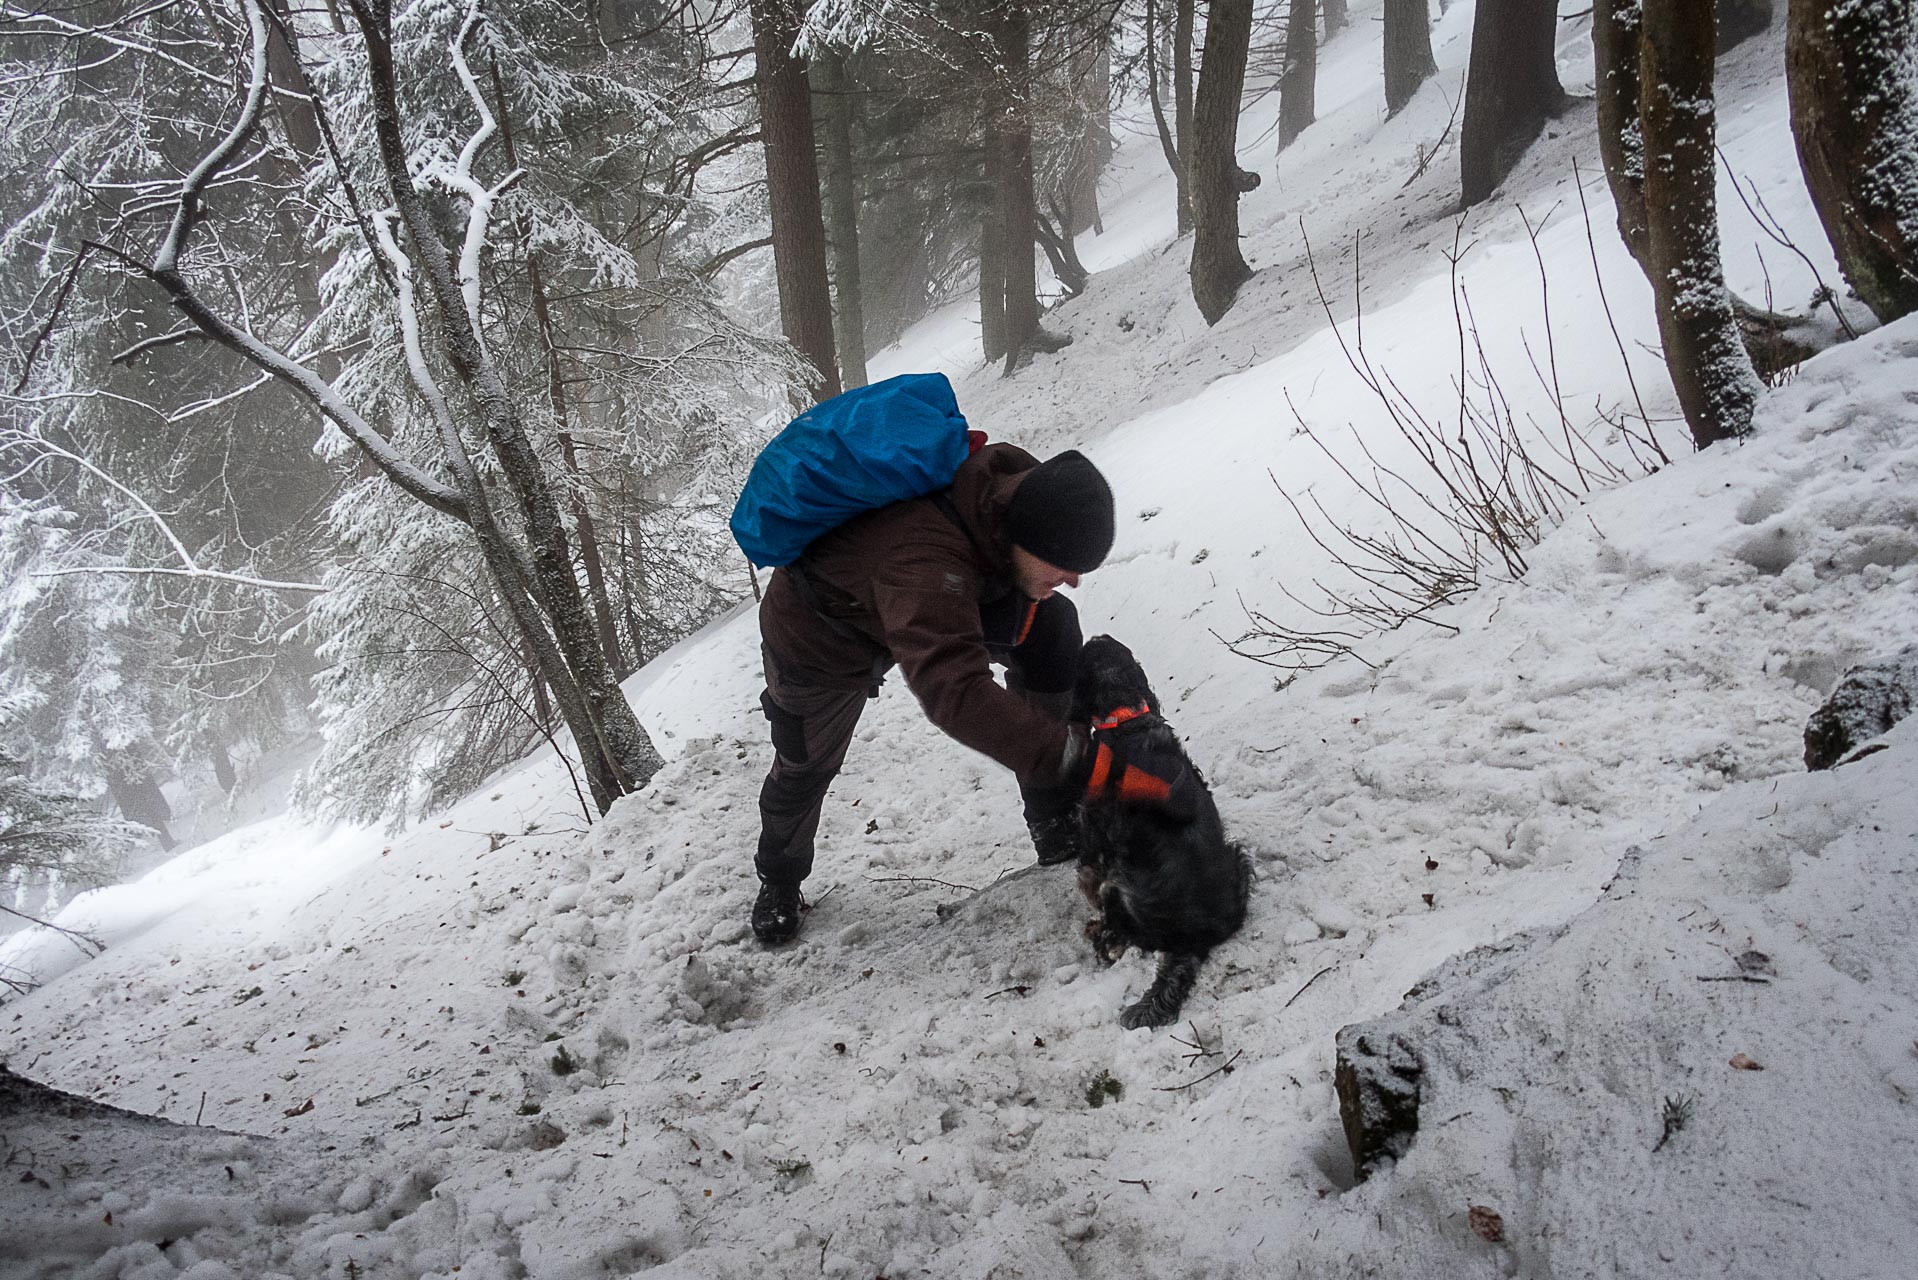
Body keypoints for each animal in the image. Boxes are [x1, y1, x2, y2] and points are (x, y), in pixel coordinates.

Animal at [1074, 637, 1250, 1036]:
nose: (1093, 636)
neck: (1126, 717)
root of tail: (1193, 940)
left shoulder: (1094, 835)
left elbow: (1087, 872)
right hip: (1239, 856)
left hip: (1121, 889)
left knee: (1118, 933)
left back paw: (1099, 935)